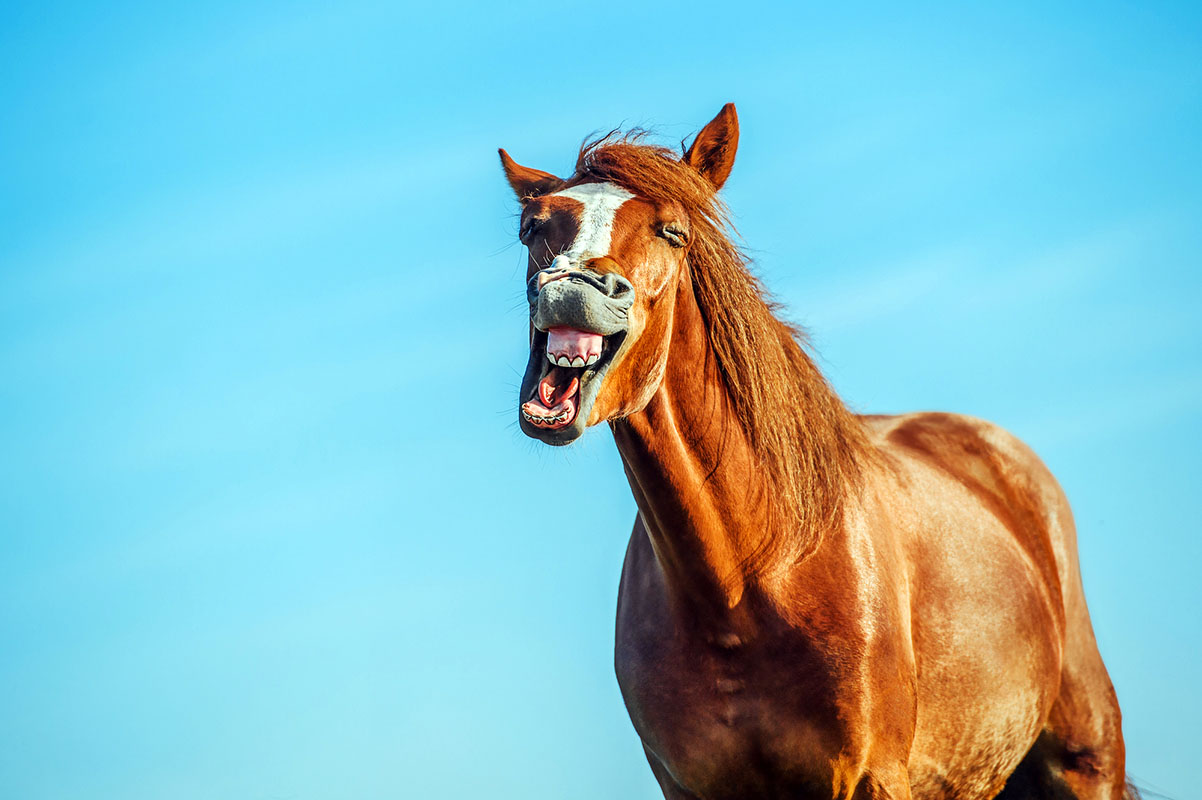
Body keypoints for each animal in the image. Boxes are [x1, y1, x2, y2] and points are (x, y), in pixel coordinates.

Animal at [495, 105, 1125, 797]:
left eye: (672, 231)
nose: (572, 287)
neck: (743, 581)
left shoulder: (874, 775)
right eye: (532, 227)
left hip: (1085, 764)